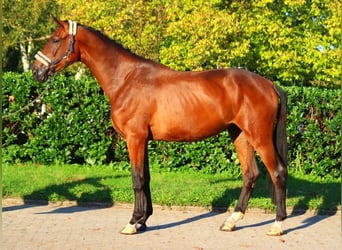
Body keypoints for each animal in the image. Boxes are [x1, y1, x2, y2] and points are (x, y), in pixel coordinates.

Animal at [32, 18, 288, 236]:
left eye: (55, 40)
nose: (35, 70)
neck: (126, 78)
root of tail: (269, 84)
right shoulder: (143, 140)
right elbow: (145, 178)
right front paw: (142, 221)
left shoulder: (134, 138)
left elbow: (136, 179)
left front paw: (132, 223)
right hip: (240, 135)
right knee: (250, 174)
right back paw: (231, 221)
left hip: (259, 136)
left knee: (277, 172)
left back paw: (277, 224)